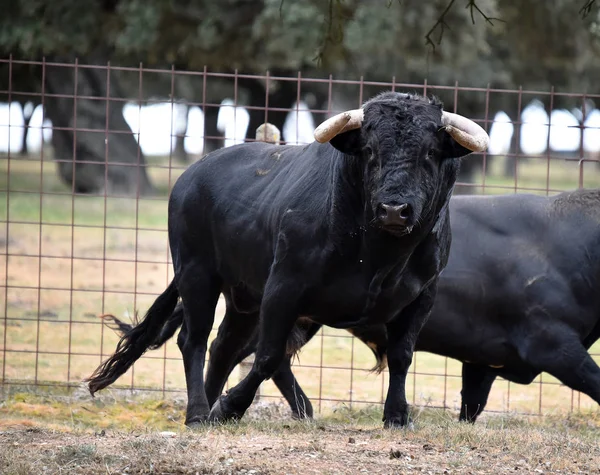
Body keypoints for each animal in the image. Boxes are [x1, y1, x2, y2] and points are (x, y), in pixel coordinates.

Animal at [86, 91, 488, 430]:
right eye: (370, 151)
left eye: (430, 154)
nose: (393, 209)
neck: (379, 255)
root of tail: (192, 175)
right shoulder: (284, 287)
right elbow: (267, 355)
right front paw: (231, 407)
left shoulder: (423, 296)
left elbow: (402, 355)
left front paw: (397, 416)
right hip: (197, 274)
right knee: (194, 339)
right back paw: (201, 410)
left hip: (245, 298)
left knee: (224, 346)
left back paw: (212, 406)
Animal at [108, 190, 600, 424]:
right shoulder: (551, 343)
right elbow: (596, 380)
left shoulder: (483, 360)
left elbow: (471, 406)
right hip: (266, 300)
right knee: (247, 351)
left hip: (267, 306)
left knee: (238, 350)